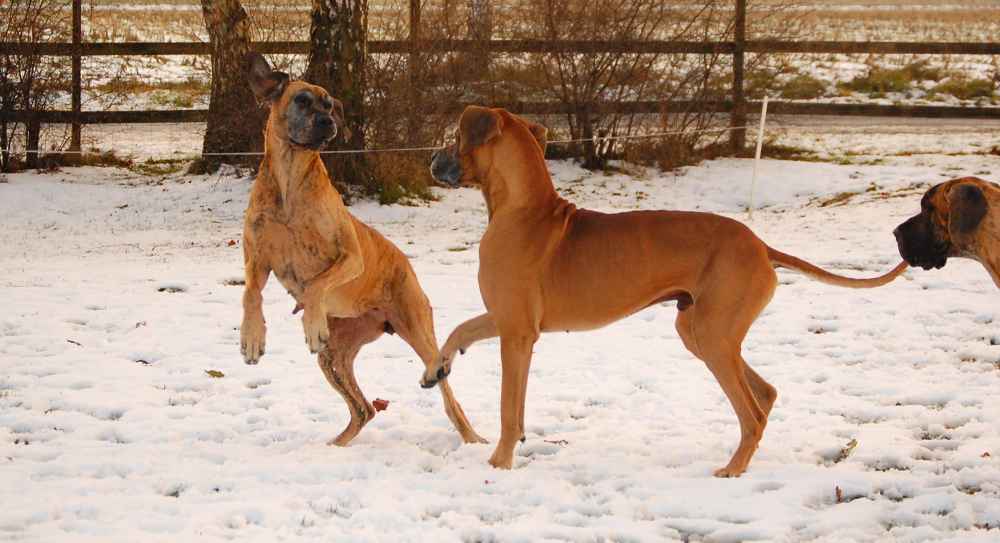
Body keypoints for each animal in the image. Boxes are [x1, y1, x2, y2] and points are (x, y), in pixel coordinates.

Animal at [239, 53, 484, 446]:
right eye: (302, 100)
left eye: (329, 104)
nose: (328, 122)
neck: (290, 177)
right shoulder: (257, 259)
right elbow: (250, 294)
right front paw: (251, 339)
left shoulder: (350, 257)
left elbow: (315, 285)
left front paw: (311, 321)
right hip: (334, 356)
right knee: (363, 408)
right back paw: (337, 445)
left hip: (417, 329)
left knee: (448, 394)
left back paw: (470, 435)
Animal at [424, 106, 908, 476]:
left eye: (455, 137)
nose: (430, 159)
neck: (523, 209)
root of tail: (761, 246)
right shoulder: (508, 321)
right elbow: (459, 331)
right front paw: (437, 368)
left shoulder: (517, 331)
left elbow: (509, 407)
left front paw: (500, 463)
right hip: (699, 331)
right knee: (765, 394)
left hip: (712, 336)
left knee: (751, 413)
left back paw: (732, 469)